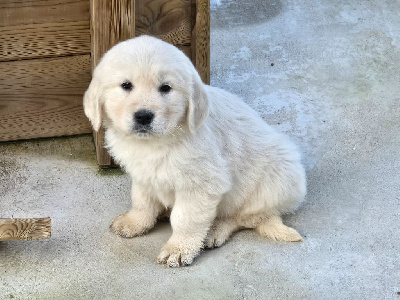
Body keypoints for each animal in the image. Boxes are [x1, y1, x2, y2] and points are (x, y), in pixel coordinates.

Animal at [82, 34, 306, 268]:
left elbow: (185, 219)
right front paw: (135, 222)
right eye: (126, 85)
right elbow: (142, 200)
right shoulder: (143, 175)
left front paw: (179, 249)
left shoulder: (201, 184)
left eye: (166, 88)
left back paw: (215, 229)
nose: (143, 116)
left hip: (280, 174)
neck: (157, 141)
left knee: (246, 217)